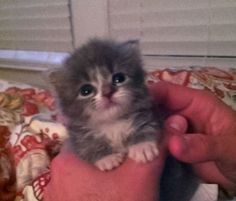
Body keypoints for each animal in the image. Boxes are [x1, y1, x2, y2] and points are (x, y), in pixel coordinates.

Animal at [49, 38, 160, 170]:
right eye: (85, 91)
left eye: (119, 78)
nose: (108, 92)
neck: (112, 123)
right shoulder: (78, 136)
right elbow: (87, 145)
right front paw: (107, 158)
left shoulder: (145, 115)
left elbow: (146, 126)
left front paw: (142, 146)